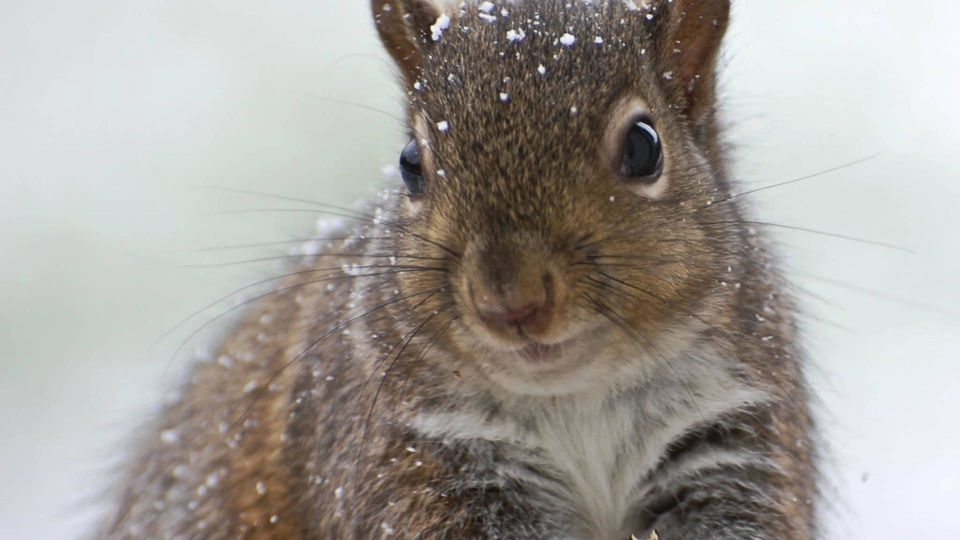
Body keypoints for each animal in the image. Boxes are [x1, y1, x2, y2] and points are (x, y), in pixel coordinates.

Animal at [103, 1, 816, 540]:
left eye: (644, 147)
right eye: (410, 162)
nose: (510, 298)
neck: (575, 399)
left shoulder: (736, 440)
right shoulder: (414, 458)